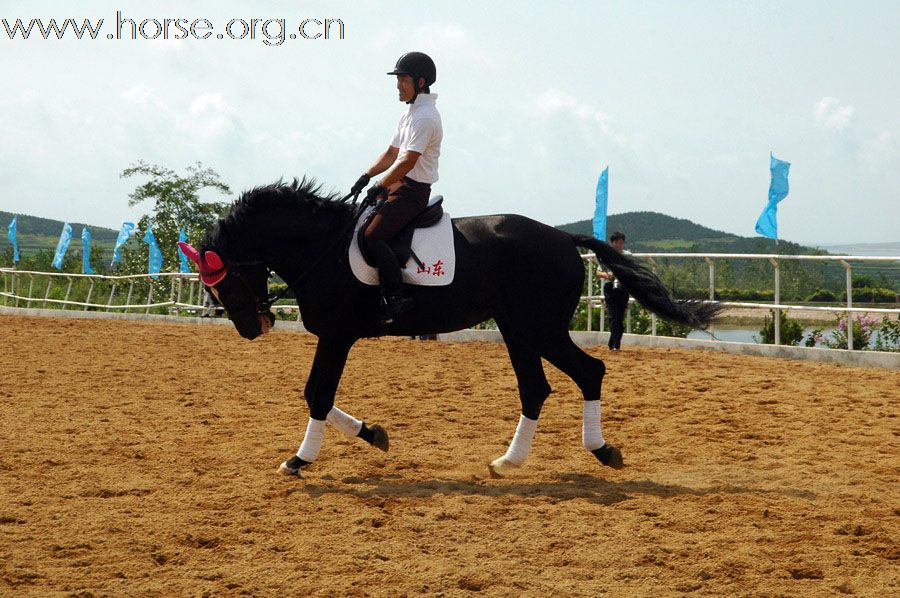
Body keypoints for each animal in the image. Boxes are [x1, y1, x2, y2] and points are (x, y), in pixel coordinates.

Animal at [179, 178, 720, 478]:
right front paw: (374, 434)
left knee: (589, 372)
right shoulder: (336, 337)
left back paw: (602, 451)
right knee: (536, 388)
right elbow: (321, 396)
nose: (252, 329)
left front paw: (299, 460)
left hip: (539, 328)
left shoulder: (336, 336)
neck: (323, 247)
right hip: (517, 329)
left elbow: (317, 394)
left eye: (223, 281)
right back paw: (508, 462)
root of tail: (565, 239)